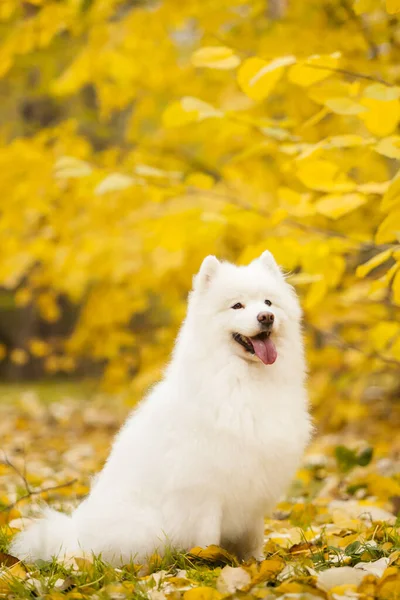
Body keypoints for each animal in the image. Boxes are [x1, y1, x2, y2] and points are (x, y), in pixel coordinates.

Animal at [8, 252, 310, 568]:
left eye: (268, 303)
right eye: (237, 305)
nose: (266, 317)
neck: (243, 380)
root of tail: (72, 538)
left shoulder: (254, 488)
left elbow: (253, 537)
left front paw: (257, 563)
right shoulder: (204, 490)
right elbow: (208, 535)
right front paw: (209, 561)